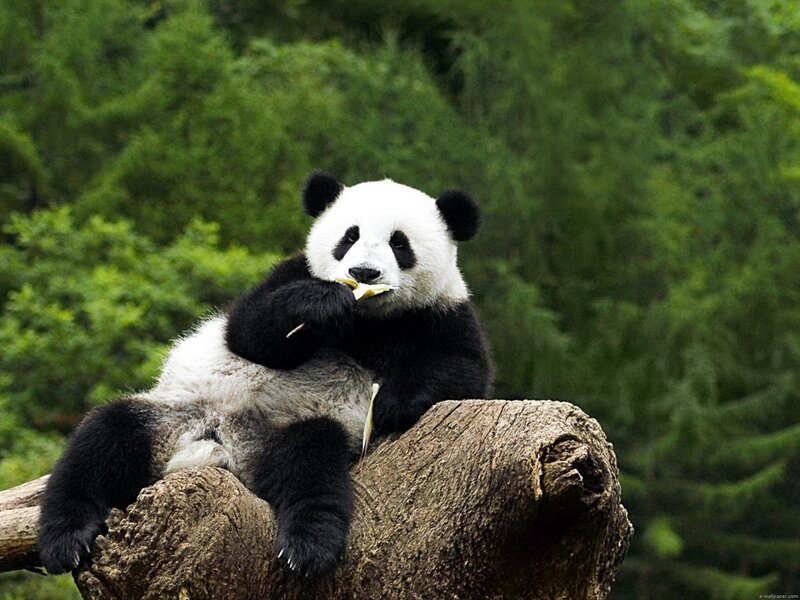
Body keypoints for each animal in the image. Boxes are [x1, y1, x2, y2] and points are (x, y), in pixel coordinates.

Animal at [37, 171, 493, 578]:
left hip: (293, 428)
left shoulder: (442, 314)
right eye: (349, 237)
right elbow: (248, 331)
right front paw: (321, 305)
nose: (363, 273)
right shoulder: (290, 273)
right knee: (103, 440)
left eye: (399, 243)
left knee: (309, 465)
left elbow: (463, 371)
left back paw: (307, 547)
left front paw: (391, 404)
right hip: (173, 413)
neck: (368, 320)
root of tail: (222, 445)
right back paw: (67, 538)